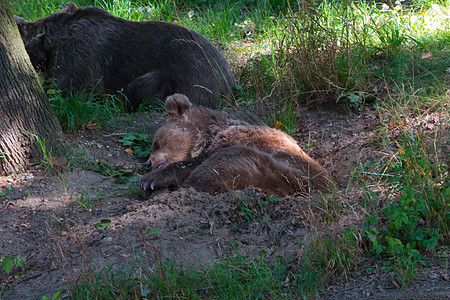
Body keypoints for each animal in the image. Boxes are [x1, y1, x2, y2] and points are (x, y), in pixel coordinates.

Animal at [141, 94, 330, 197]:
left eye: (156, 143)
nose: (147, 164)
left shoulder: (239, 140)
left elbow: (192, 165)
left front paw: (150, 180)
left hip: (275, 170)